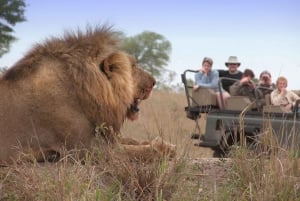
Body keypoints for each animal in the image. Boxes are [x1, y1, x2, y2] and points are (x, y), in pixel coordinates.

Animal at [0, 25, 176, 165]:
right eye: (133, 66)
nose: (154, 82)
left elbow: (132, 141)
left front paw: (163, 143)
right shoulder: (87, 150)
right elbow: (141, 151)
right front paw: (165, 149)